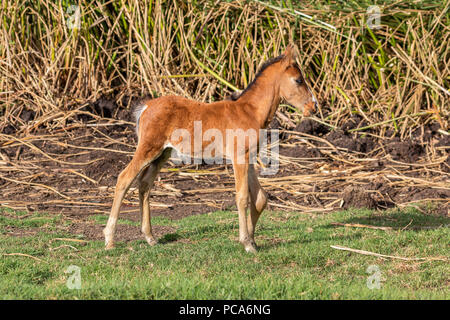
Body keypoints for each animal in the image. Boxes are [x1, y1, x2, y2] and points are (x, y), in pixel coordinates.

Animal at [104, 44, 318, 252]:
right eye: (298, 80)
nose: (313, 107)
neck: (250, 111)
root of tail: (146, 106)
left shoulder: (248, 158)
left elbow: (260, 198)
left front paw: (253, 241)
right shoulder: (239, 157)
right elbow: (242, 197)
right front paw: (246, 243)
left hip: (162, 154)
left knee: (144, 184)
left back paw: (150, 237)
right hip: (149, 148)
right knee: (124, 178)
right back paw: (110, 239)